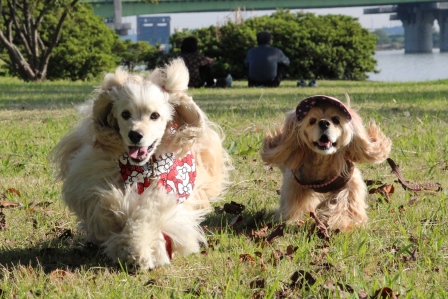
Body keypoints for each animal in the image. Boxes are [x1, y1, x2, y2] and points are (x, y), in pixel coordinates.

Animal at [50, 58, 229, 270]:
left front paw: (138, 250)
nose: (135, 135)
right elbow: (108, 205)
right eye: (125, 114)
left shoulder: (172, 198)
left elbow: (150, 216)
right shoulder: (93, 180)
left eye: (155, 115)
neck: (143, 169)